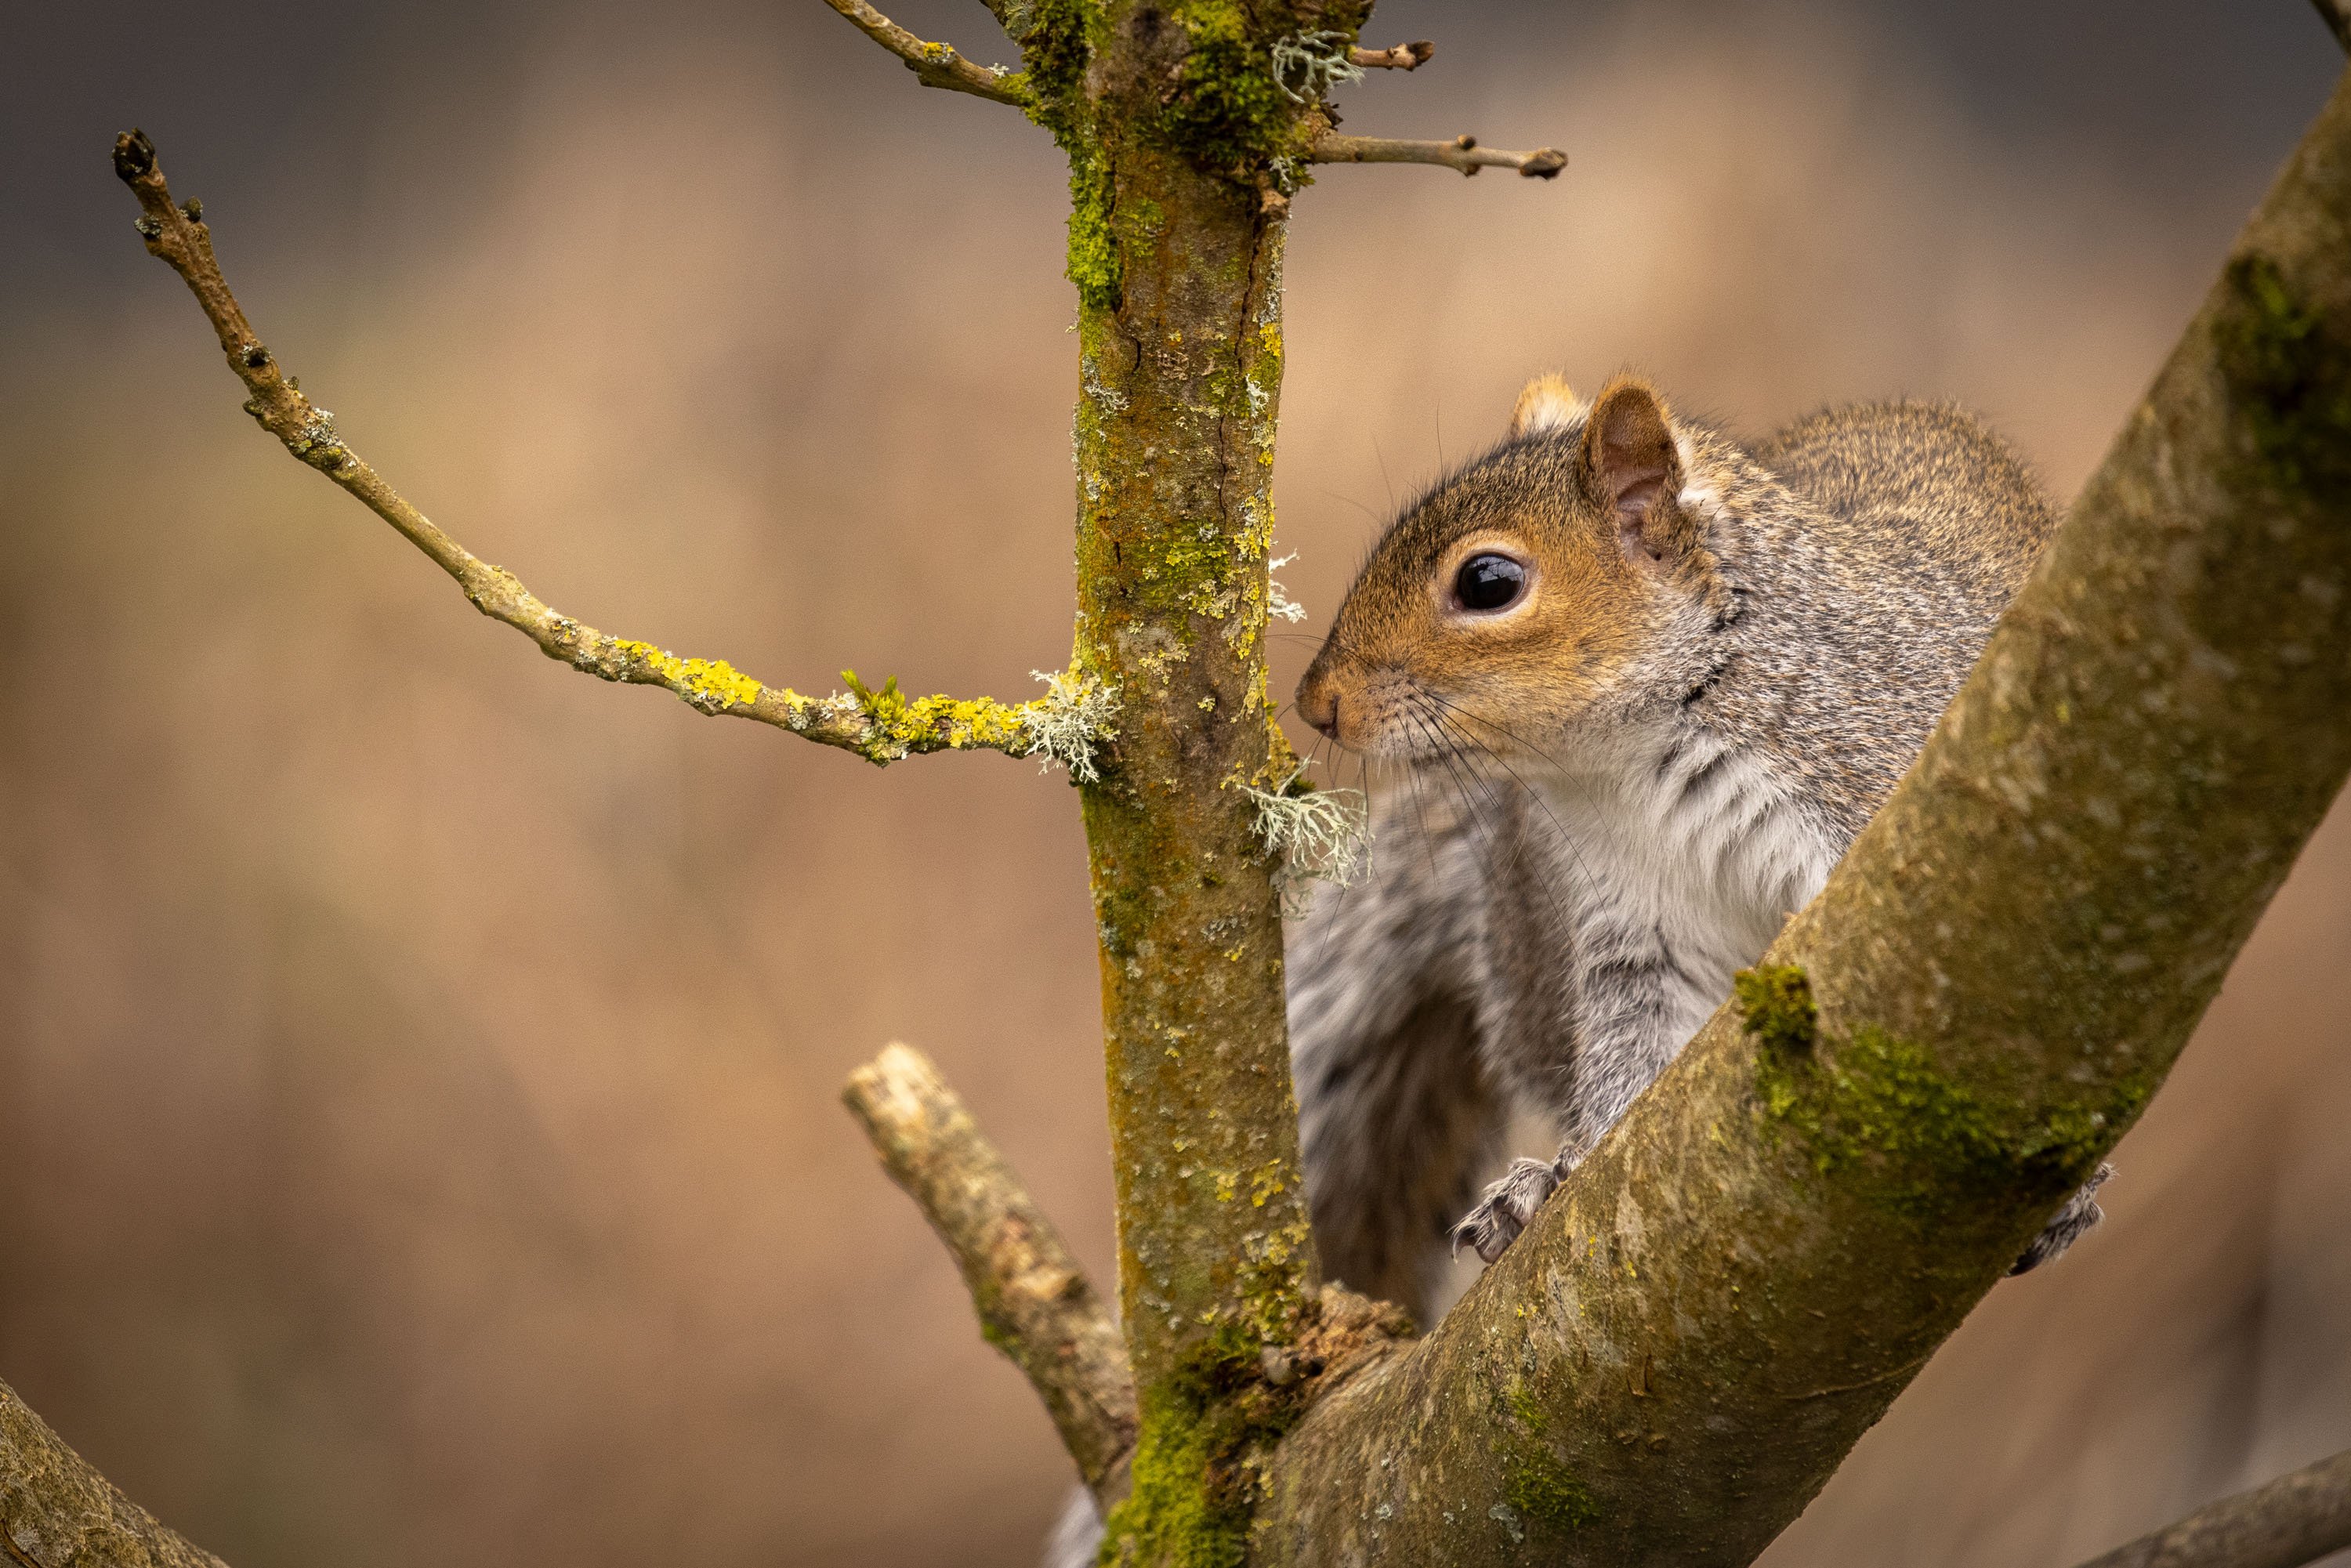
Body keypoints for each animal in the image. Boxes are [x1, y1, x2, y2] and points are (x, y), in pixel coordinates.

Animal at [1288, 374, 2116, 1316]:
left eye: (1487, 581)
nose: (1316, 703)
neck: (1635, 759)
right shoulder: (1636, 920)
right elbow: (1636, 1052)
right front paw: (1560, 1177)